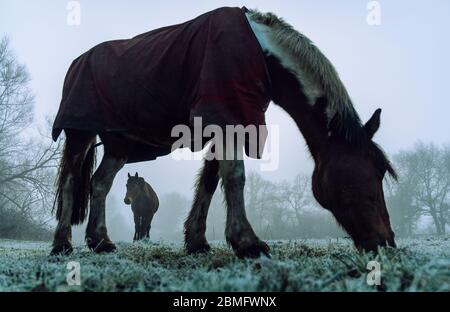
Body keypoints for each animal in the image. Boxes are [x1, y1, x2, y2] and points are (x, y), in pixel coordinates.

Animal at [51, 6, 398, 256]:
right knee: (69, 183)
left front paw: (197, 241)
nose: (386, 243)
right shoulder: (228, 120)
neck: (260, 53)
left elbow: (209, 180)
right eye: (371, 172)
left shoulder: (225, 124)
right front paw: (247, 243)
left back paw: (100, 242)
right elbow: (234, 177)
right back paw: (62, 245)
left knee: (99, 185)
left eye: (381, 171)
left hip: (118, 145)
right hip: (79, 134)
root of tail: (78, 62)